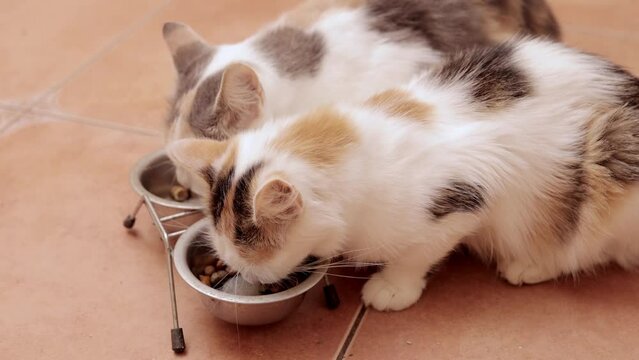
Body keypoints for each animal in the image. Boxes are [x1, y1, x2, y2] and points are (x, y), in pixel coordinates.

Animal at [170, 37, 639, 312]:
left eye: (249, 256)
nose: (244, 276)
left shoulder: (464, 201)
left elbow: (417, 253)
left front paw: (392, 288)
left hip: (608, 162)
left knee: (585, 245)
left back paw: (530, 263)